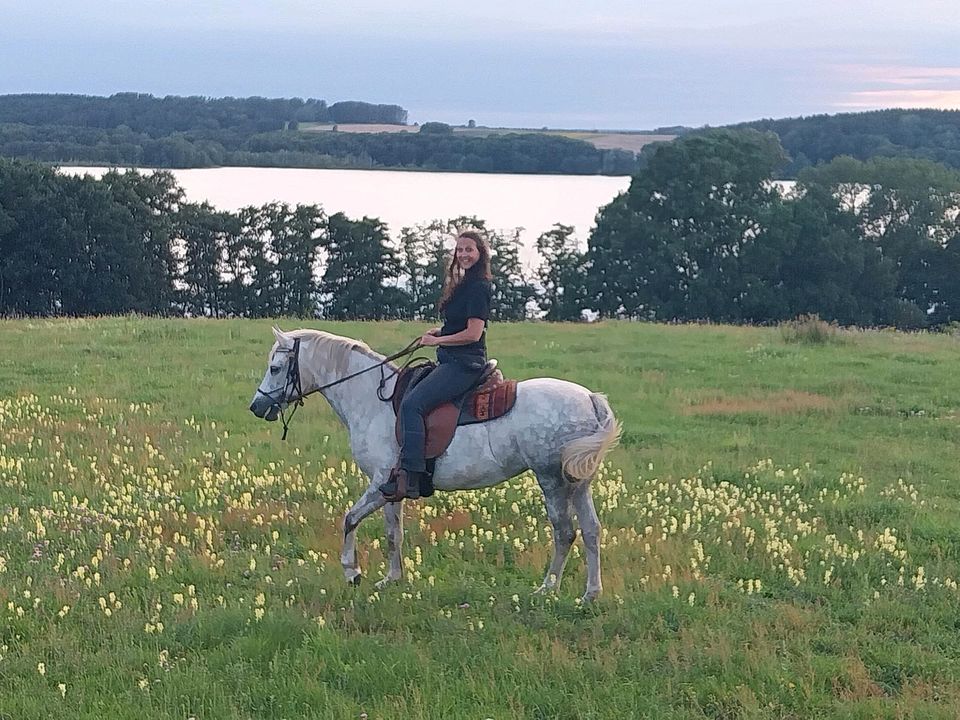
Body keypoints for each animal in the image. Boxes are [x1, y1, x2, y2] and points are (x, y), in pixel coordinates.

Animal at [249, 328, 624, 600]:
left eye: (275, 368)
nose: (256, 406)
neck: (371, 399)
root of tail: (589, 398)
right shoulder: (392, 489)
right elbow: (393, 534)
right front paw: (392, 579)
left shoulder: (379, 483)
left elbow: (349, 519)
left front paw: (352, 572)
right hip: (578, 483)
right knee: (591, 531)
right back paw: (590, 594)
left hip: (551, 480)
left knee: (564, 532)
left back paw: (547, 588)